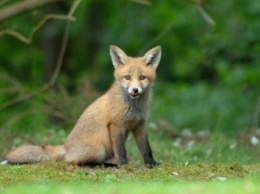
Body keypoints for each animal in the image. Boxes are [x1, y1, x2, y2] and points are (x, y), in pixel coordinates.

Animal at [4, 44, 161, 167]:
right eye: (127, 77)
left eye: (142, 77)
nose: (135, 90)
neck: (134, 107)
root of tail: (66, 146)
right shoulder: (116, 125)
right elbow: (121, 150)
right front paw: (123, 165)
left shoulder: (139, 125)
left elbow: (147, 149)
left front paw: (152, 164)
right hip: (100, 149)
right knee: (72, 161)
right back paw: (102, 165)